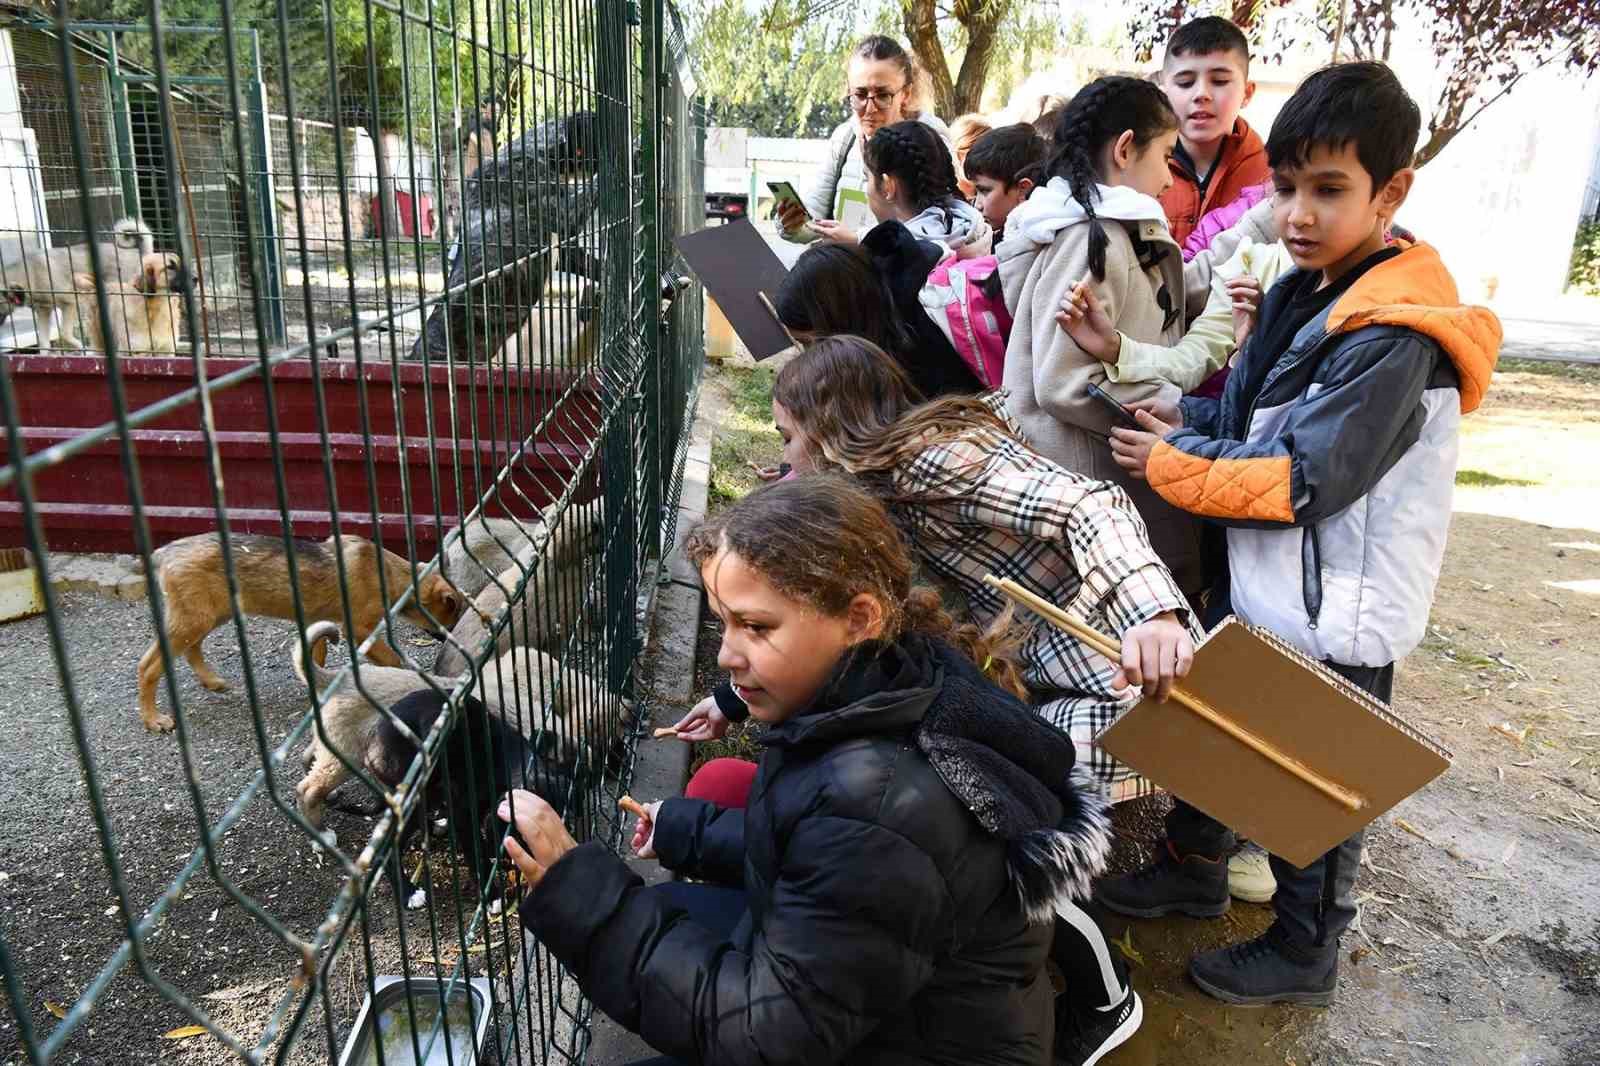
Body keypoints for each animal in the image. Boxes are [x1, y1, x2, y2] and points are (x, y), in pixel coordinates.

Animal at [0, 216, 152, 348]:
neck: (28, 274)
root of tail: (139, 253)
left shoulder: (70, 304)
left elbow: (64, 333)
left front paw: (85, 349)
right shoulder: (44, 312)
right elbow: (43, 342)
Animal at [136, 531, 467, 729]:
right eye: (454, 614)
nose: (450, 637)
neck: (393, 577)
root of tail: (163, 552)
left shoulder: (316, 622)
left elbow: (315, 658)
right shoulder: (360, 629)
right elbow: (393, 659)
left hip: (210, 616)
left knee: (193, 649)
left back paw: (212, 681)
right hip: (193, 620)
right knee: (148, 666)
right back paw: (153, 719)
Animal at [366, 688, 585, 902]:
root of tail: (372, 744)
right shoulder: (466, 815)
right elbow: (477, 855)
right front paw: (492, 895)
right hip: (416, 791)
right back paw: (408, 893)